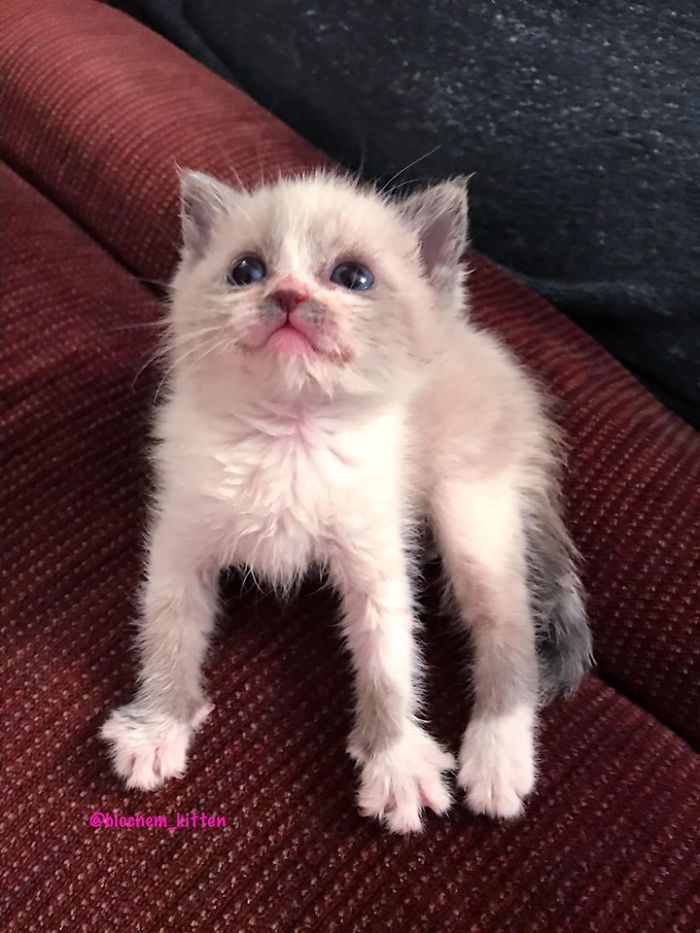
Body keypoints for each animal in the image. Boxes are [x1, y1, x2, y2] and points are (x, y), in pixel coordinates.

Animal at [100, 167, 592, 832]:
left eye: (353, 277)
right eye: (246, 270)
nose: (287, 295)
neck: (290, 434)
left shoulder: (376, 556)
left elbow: (390, 658)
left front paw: (396, 764)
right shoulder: (181, 538)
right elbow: (167, 629)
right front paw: (158, 726)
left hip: (471, 502)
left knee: (507, 620)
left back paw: (498, 759)